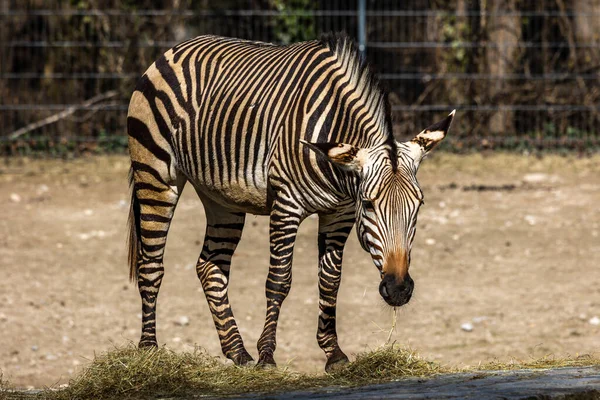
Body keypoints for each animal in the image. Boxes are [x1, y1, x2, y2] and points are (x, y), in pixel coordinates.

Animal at [126, 32, 454, 370]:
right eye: (369, 204)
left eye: (419, 205)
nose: (399, 290)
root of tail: (177, 48)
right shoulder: (287, 205)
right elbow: (279, 280)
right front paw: (267, 355)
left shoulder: (340, 213)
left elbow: (330, 280)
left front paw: (333, 353)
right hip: (155, 174)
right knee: (151, 264)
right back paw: (149, 349)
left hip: (223, 199)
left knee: (210, 267)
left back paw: (237, 352)